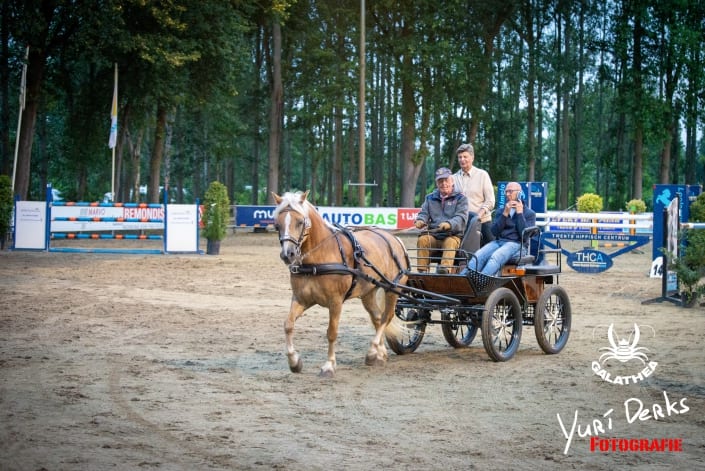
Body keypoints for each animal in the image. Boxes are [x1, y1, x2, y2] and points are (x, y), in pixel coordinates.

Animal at [272, 190, 410, 378]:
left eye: (300, 222)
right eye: (277, 225)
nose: (288, 254)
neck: (318, 258)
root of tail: (394, 239)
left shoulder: (335, 302)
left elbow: (332, 332)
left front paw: (329, 366)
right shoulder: (301, 299)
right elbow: (288, 325)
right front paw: (294, 362)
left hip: (393, 289)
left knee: (386, 318)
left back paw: (372, 352)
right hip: (368, 292)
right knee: (377, 317)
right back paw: (380, 354)